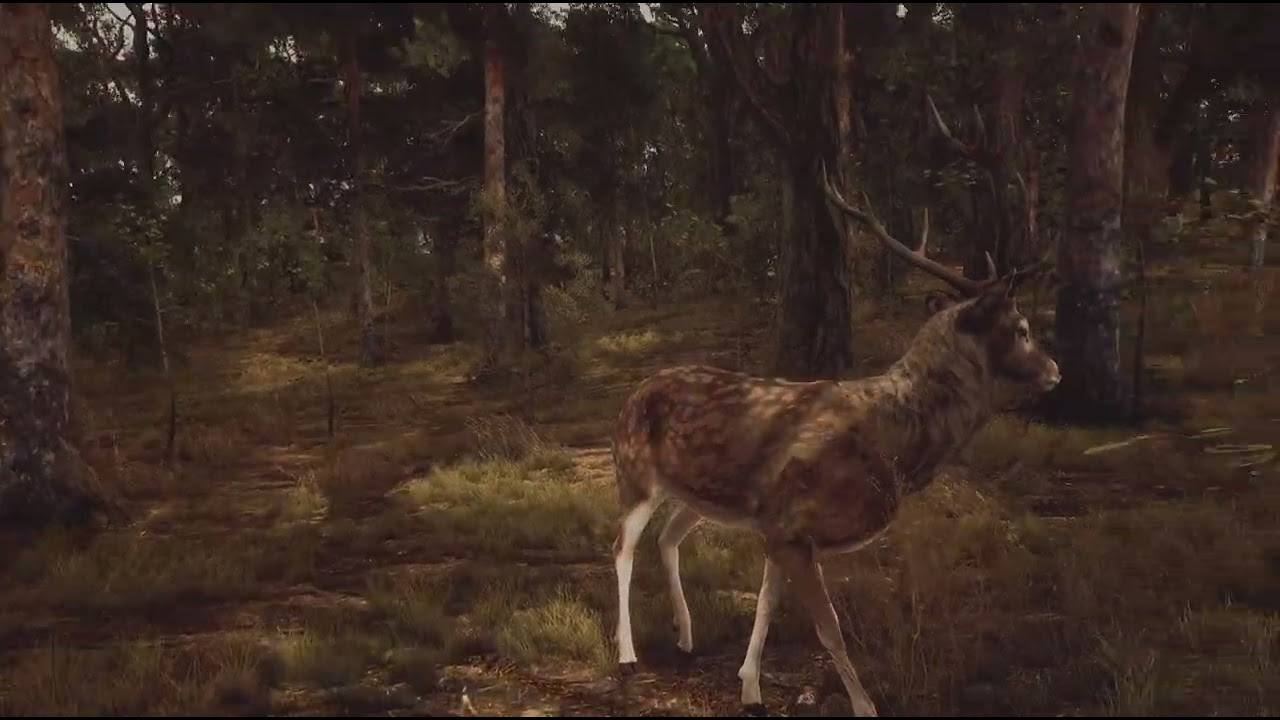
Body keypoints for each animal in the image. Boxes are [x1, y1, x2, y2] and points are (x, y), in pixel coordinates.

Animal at [609, 164, 1061, 717]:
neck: (893, 442)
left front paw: (750, 688)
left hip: (701, 497)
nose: (1055, 371)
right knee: (622, 548)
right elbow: (830, 629)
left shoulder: (777, 525)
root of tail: (633, 394)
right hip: (633, 473)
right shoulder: (795, 523)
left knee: (668, 537)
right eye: (1021, 329)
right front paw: (864, 706)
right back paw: (628, 656)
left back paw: (686, 637)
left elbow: (768, 602)